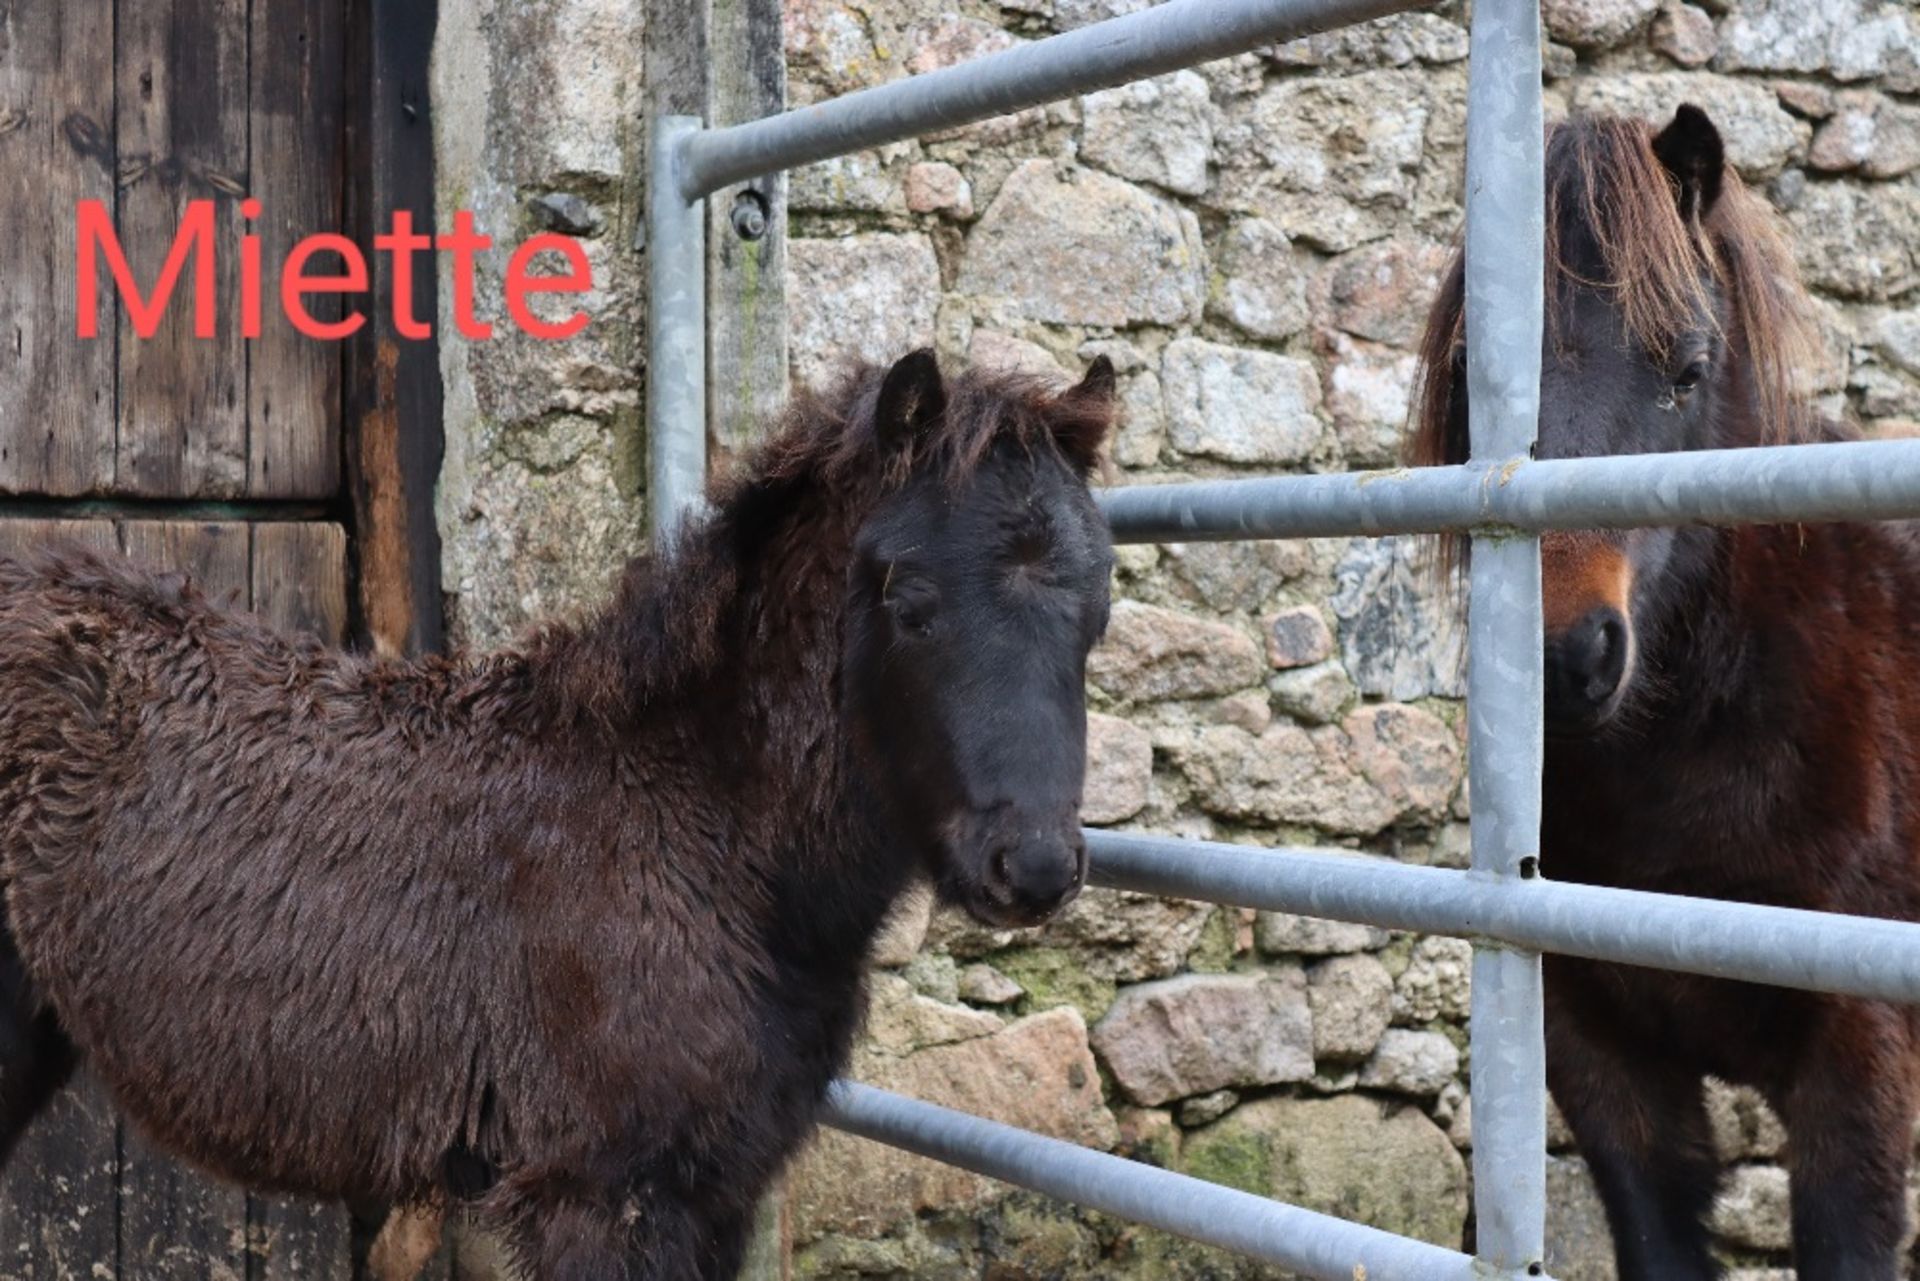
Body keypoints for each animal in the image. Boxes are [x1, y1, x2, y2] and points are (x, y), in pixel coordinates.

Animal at [0, 351, 1121, 1281]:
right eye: (907, 597)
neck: (698, 827)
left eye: (1099, 605)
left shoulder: (715, 1192)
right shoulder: (601, 1193)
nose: (1030, 867)